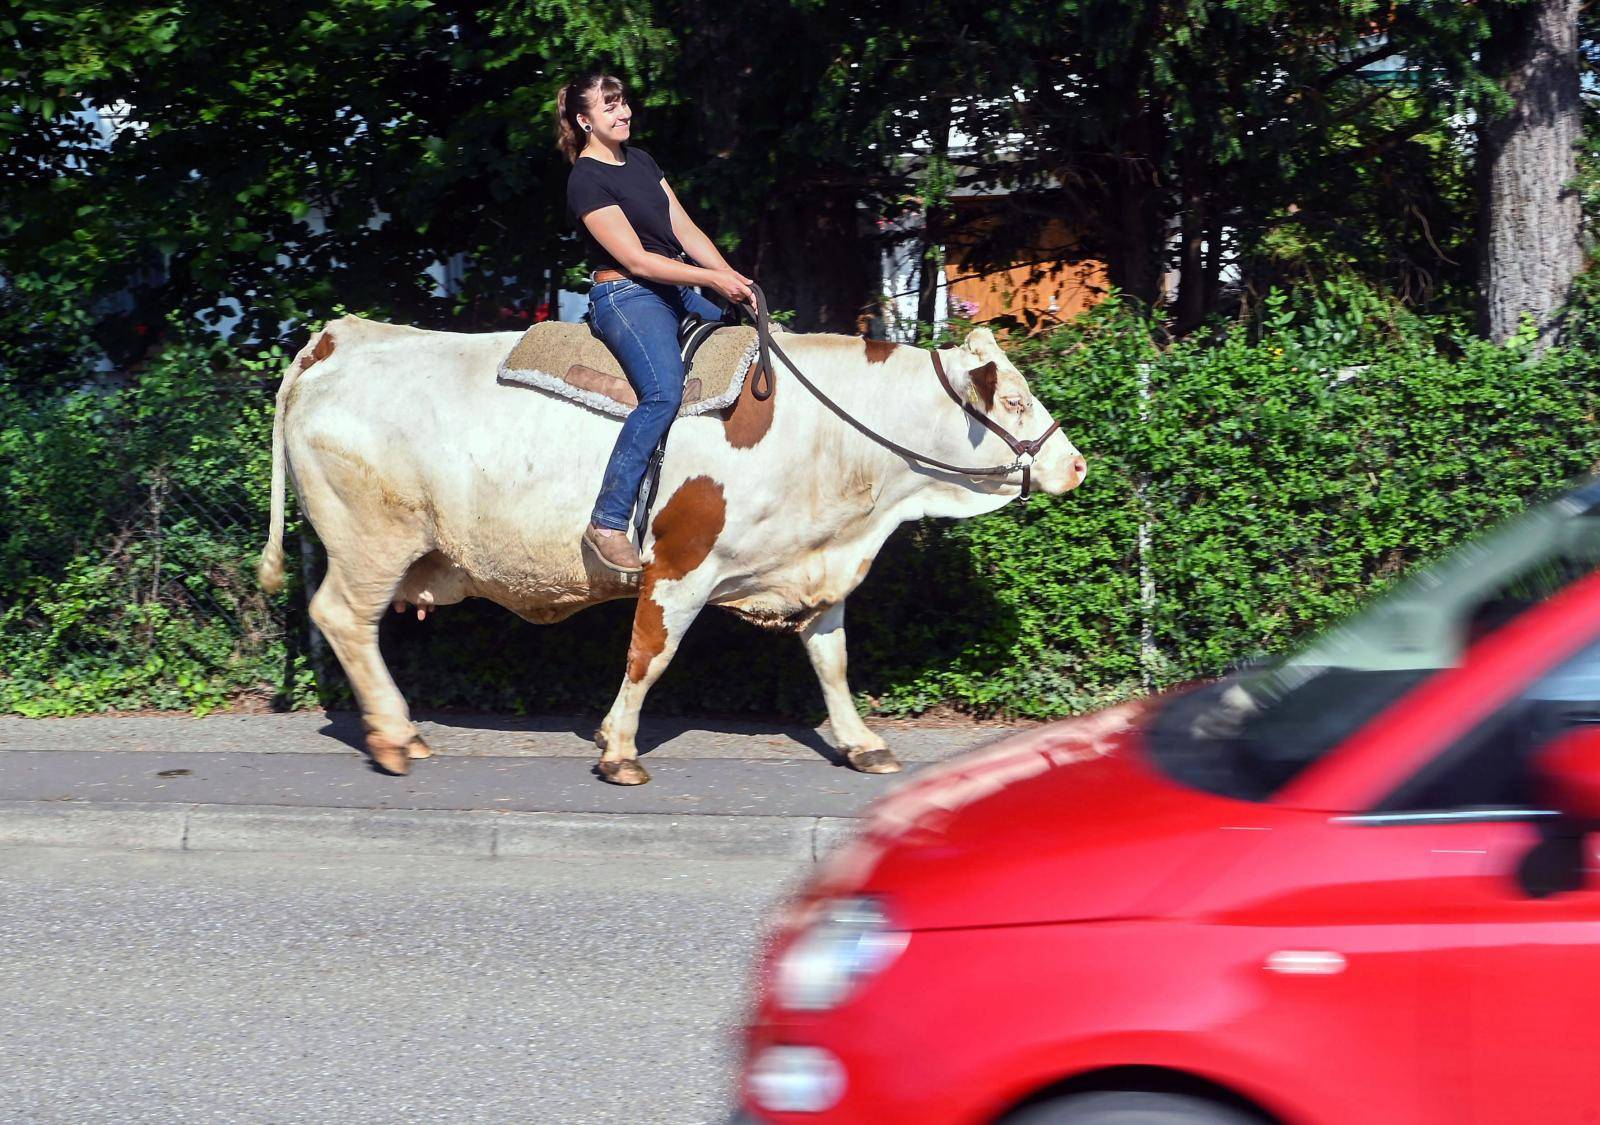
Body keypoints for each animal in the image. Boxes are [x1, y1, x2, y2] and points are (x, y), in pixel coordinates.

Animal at [256, 310, 1088, 784]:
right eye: (1015, 399)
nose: (1076, 464)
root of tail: (341, 337)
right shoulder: (680, 564)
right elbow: (648, 654)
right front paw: (619, 748)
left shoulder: (818, 565)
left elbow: (832, 661)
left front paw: (861, 744)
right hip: (372, 539)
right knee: (344, 619)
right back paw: (396, 734)